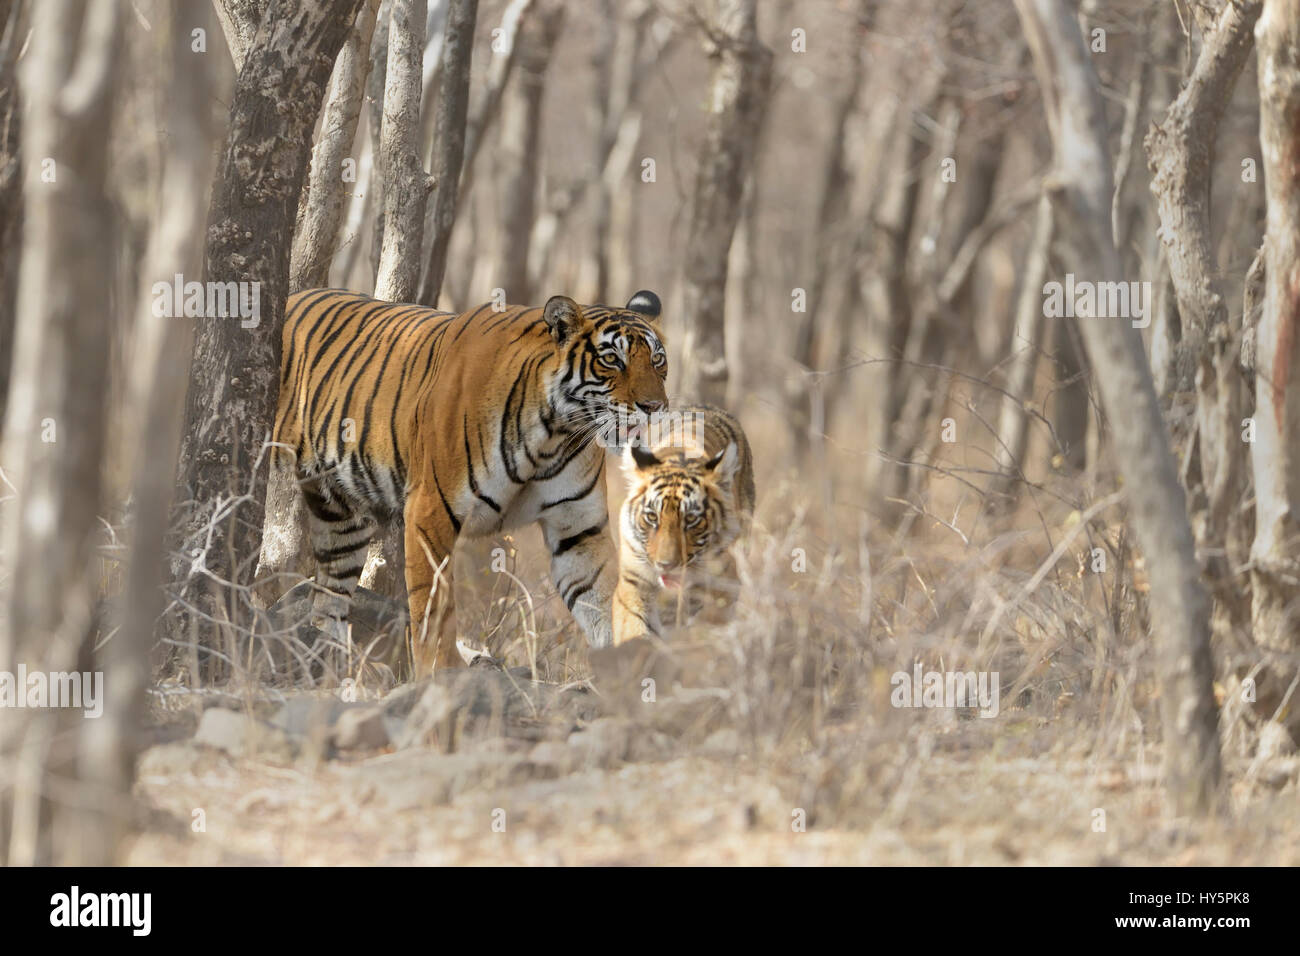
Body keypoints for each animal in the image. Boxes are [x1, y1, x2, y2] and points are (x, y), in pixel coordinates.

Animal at [262, 290, 670, 671]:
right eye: (611, 360)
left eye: (657, 360)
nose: (654, 407)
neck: (554, 434)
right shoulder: (430, 512)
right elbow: (434, 609)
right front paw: (440, 677)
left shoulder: (578, 529)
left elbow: (606, 597)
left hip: (341, 516)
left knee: (329, 597)